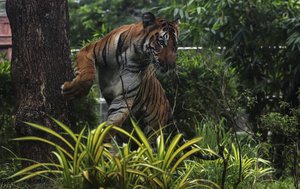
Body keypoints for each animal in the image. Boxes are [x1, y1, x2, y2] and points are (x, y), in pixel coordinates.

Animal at [61, 11, 178, 142]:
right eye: (161, 42)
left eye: (175, 46)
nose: (171, 66)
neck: (137, 55)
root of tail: (167, 103)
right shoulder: (89, 50)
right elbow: (86, 76)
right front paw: (71, 90)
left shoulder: (124, 95)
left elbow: (114, 122)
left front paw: (99, 142)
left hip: (153, 128)